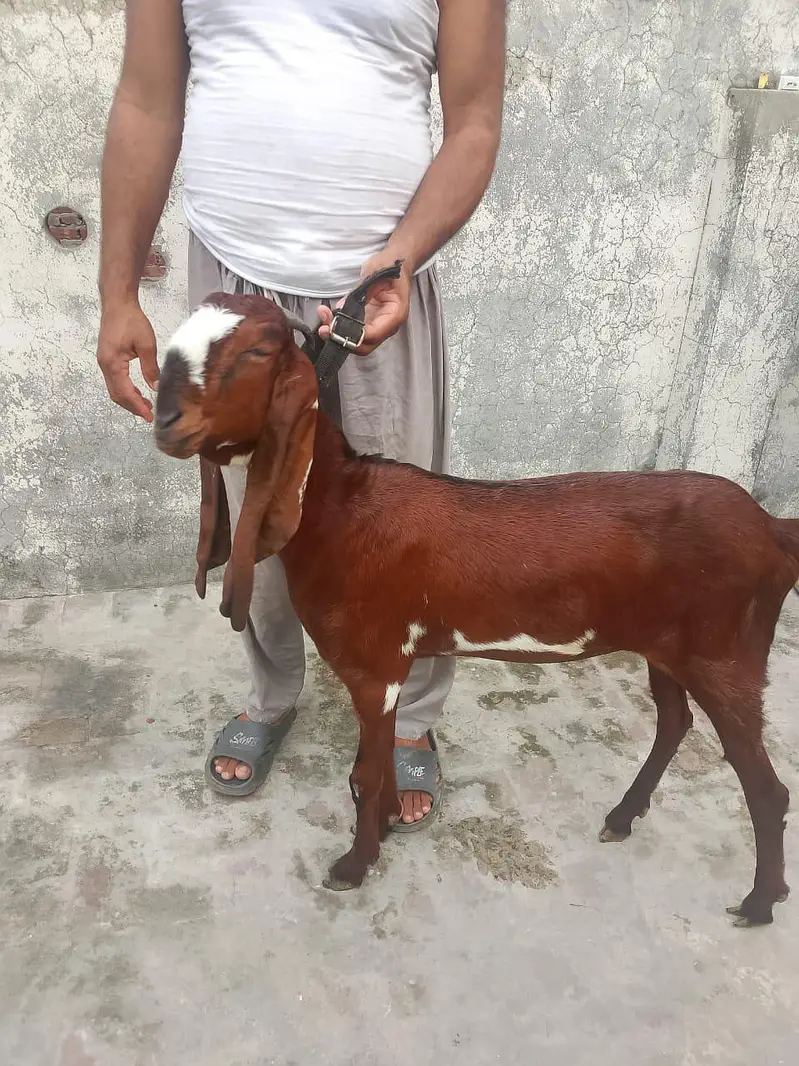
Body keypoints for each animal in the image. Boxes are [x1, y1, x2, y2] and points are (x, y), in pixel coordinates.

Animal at [154, 291, 799, 927]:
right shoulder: (390, 667)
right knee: (674, 723)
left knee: (765, 786)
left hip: (726, 656)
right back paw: (622, 817)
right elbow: (375, 764)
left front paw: (355, 864)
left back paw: (759, 902)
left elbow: (368, 769)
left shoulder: (375, 666)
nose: (164, 420)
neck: (342, 509)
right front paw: (386, 827)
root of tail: (772, 528)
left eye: (257, 350)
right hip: (665, 647)